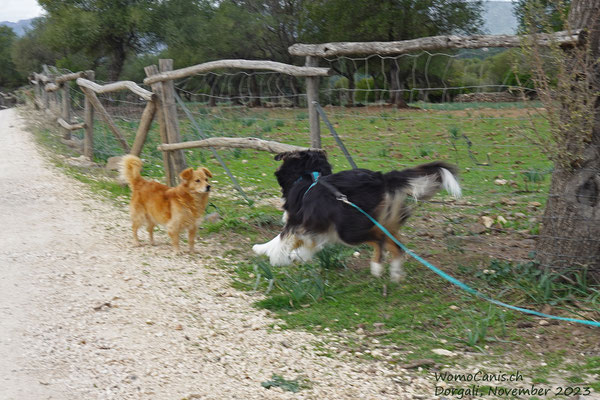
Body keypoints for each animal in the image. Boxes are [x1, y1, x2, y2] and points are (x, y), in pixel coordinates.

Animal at [251, 150, 462, 282]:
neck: (309, 177)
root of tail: (382, 178)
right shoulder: (315, 227)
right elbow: (303, 243)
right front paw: (291, 254)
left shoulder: (298, 222)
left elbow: (281, 238)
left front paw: (274, 256)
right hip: (384, 220)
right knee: (396, 245)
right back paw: (394, 272)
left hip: (349, 228)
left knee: (380, 240)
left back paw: (377, 267)